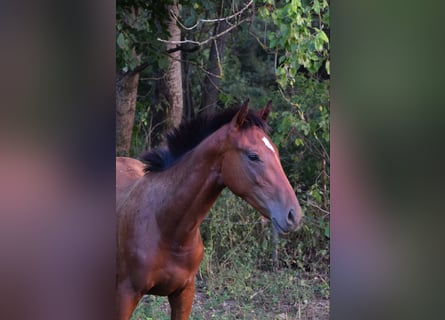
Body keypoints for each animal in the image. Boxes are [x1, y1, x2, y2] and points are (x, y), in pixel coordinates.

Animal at [114, 100, 302, 320]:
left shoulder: (184, 293)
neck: (166, 228)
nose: (293, 215)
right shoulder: (126, 295)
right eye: (253, 156)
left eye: (277, 152)